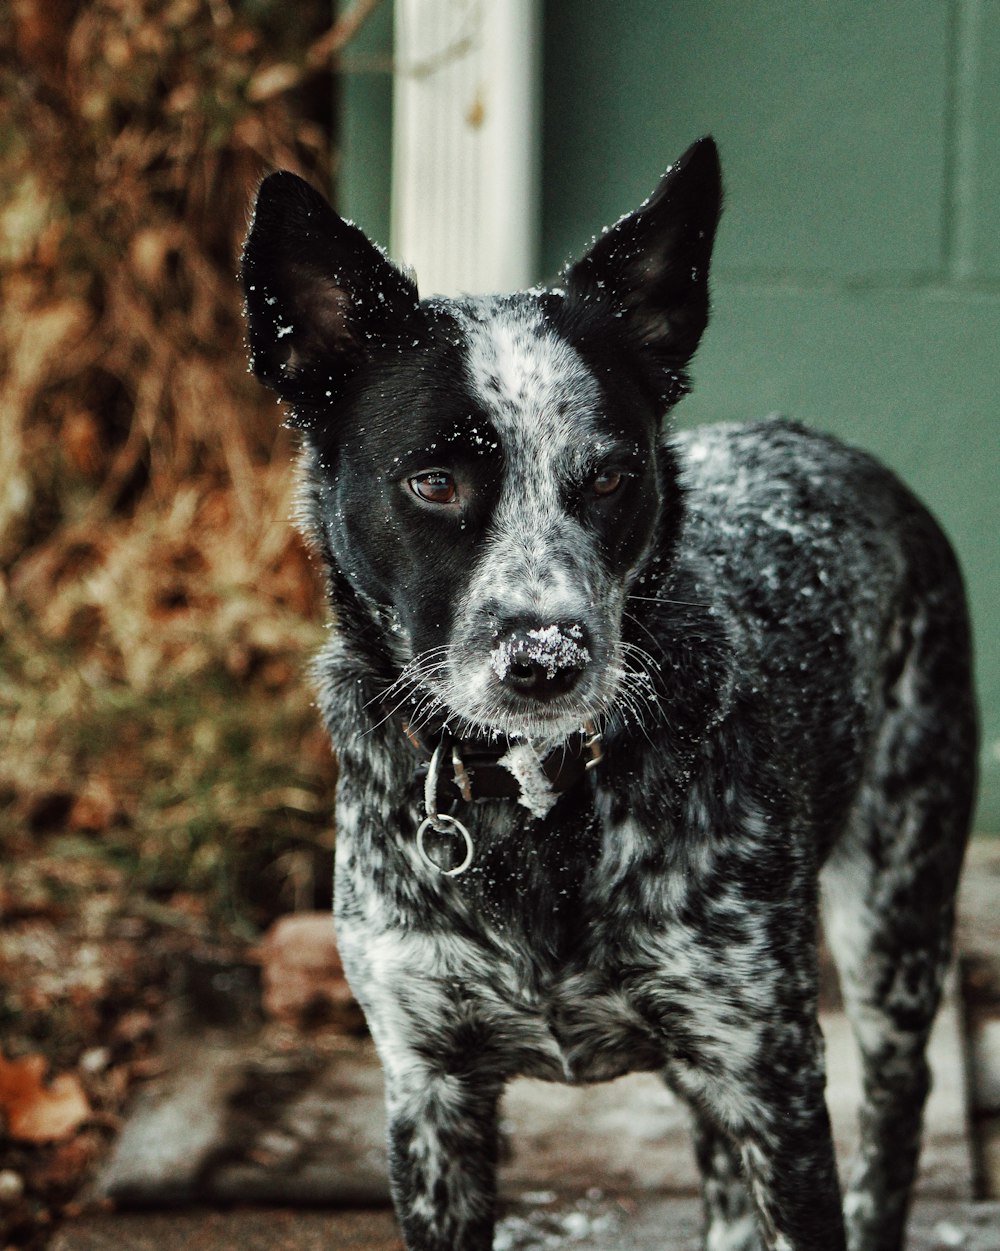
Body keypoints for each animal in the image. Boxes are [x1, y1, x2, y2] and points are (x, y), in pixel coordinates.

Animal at [240, 139, 976, 1251]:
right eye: (434, 482)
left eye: (610, 476)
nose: (545, 657)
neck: (537, 800)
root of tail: (833, 445)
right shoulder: (429, 1088)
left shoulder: (768, 1067)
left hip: (895, 912)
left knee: (896, 1111)